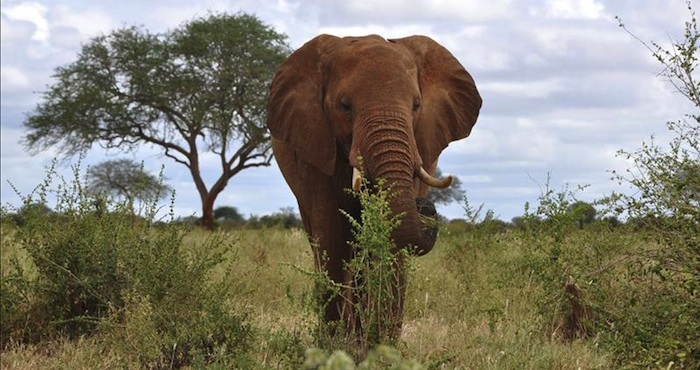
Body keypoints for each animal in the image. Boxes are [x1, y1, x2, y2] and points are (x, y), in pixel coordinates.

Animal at [266, 34, 478, 342]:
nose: (425, 206)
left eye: (416, 106)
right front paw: (335, 343)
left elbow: (393, 243)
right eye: (344, 106)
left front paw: (381, 343)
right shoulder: (314, 148)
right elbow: (332, 235)